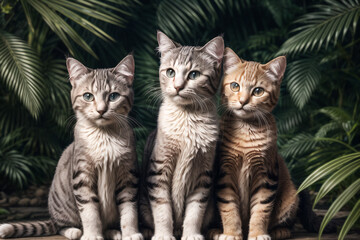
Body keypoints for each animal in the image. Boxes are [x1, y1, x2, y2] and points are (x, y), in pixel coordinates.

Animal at [0, 54, 143, 240]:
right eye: (88, 96)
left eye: (113, 96)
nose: (101, 110)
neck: (104, 136)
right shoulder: (82, 176)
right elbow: (90, 212)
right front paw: (92, 235)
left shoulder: (128, 175)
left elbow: (129, 211)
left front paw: (131, 233)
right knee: (60, 226)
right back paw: (74, 231)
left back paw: (113, 231)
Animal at [139, 31, 224, 240]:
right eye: (170, 72)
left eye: (194, 74)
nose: (177, 87)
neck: (187, 119)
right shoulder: (159, 169)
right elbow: (163, 209)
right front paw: (163, 234)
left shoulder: (203, 175)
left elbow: (195, 212)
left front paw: (192, 234)